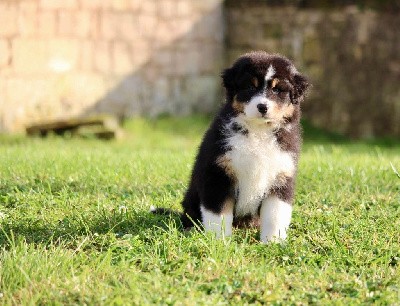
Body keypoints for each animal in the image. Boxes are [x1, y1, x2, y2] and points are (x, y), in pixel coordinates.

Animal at [156, 52, 310, 244]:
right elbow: (218, 214)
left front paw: (272, 242)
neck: (258, 131)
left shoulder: (281, 176)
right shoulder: (218, 174)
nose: (262, 107)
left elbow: (275, 215)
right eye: (250, 87)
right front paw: (219, 241)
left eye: (277, 90)